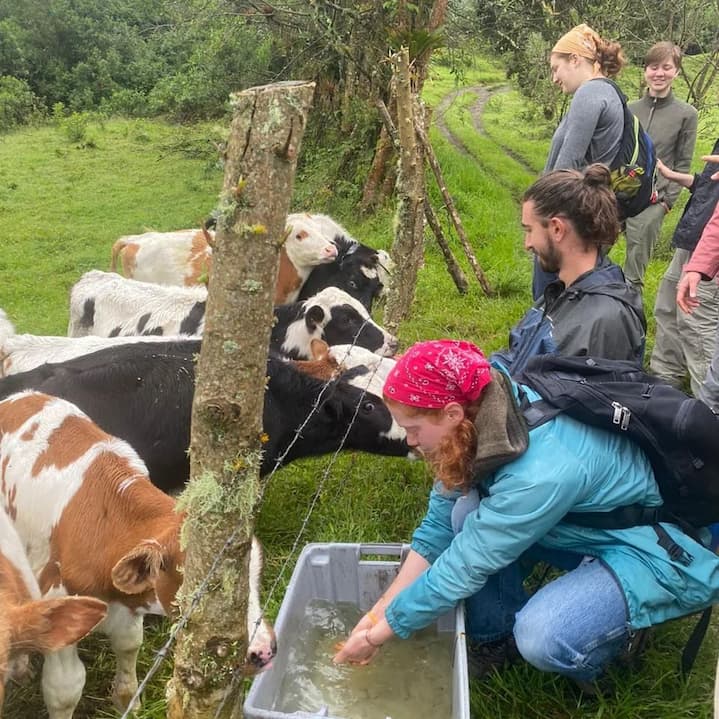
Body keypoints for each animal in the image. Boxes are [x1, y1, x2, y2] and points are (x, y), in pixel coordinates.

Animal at [0, 396, 276, 716]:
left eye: (257, 575)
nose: (264, 651)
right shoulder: (58, 604)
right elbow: (65, 689)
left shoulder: (130, 605)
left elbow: (129, 644)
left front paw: (127, 703)